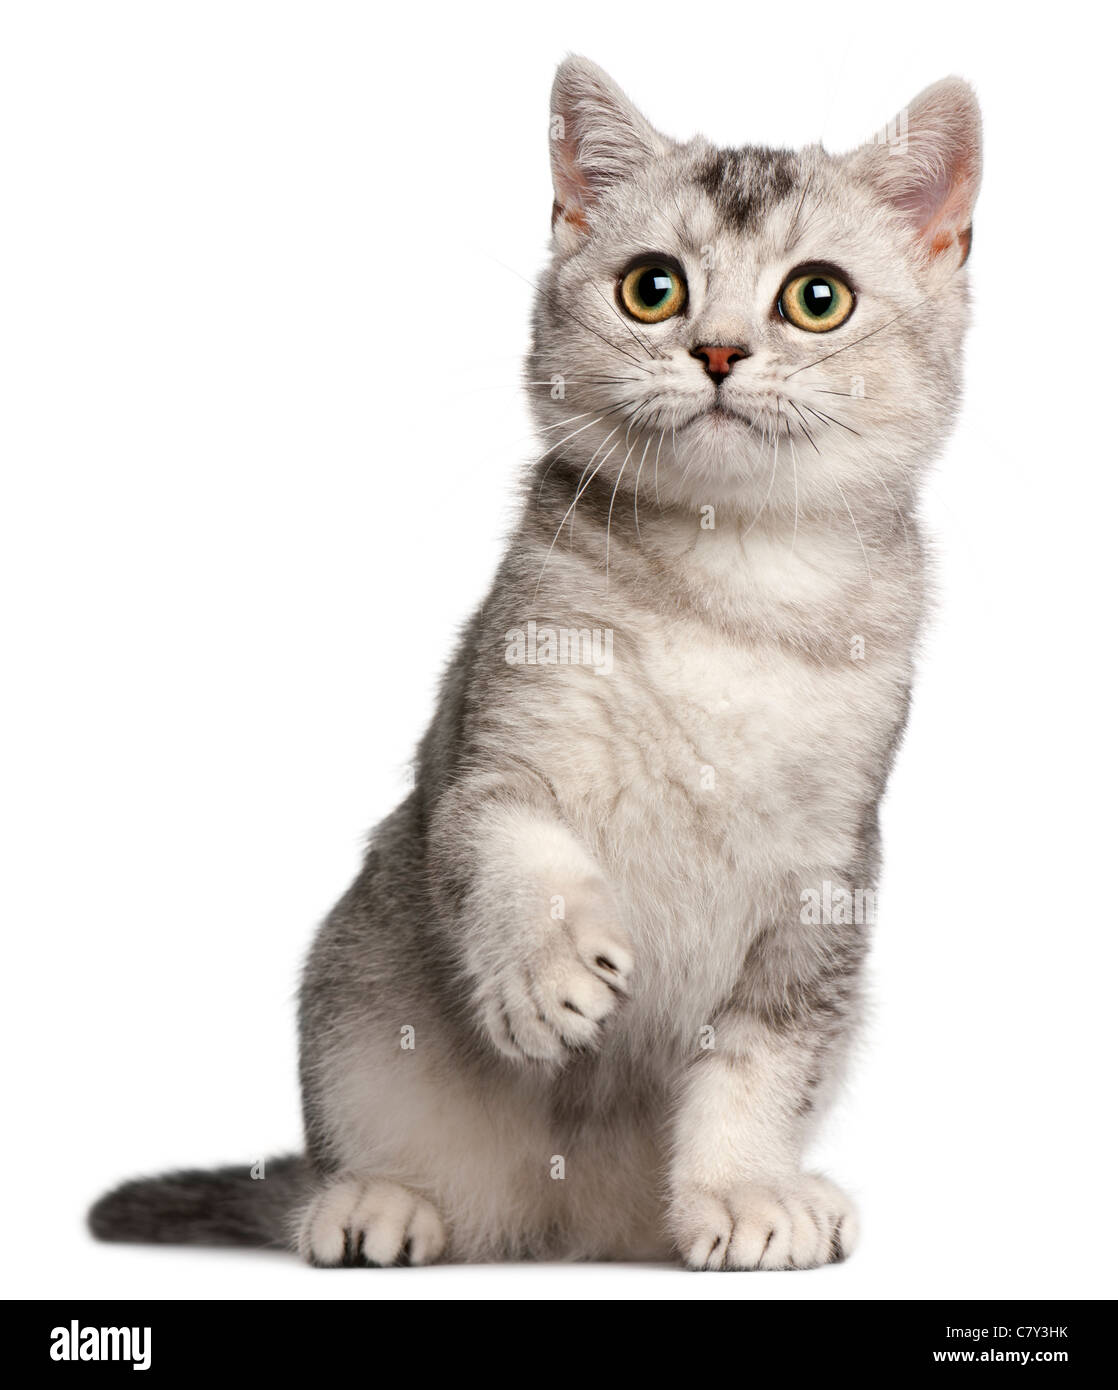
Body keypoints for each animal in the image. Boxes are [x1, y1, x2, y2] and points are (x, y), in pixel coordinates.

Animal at [91, 56, 984, 1273]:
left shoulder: (828, 877)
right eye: (652, 288)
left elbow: (762, 1056)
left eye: (816, 296)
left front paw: (745, 1189)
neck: (733, 584)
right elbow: (509, 852)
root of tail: (563, 1224)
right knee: (338, 1162)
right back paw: (373, 1201)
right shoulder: (501, 744)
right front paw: (546, 969)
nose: (715, 351)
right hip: (352, 1003)